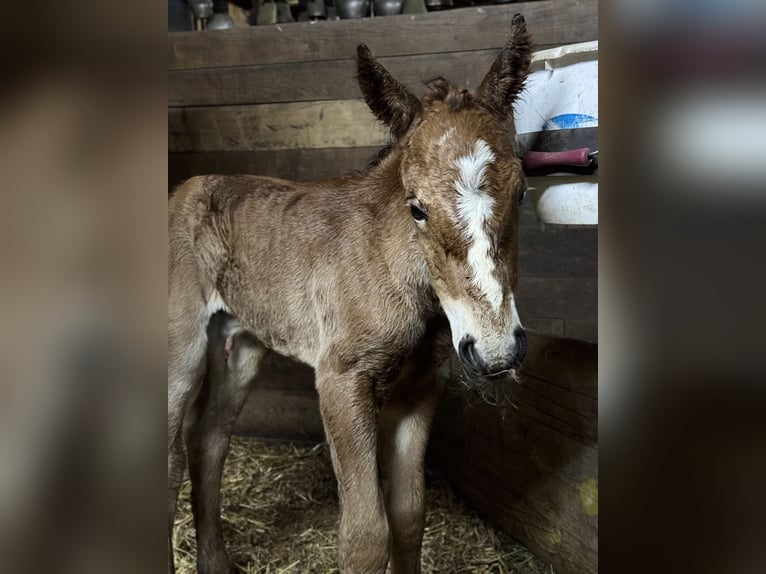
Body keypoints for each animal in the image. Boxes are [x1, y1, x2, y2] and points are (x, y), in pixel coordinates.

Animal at [168, 15, 532, 574]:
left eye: (521, 191)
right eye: (416, 207)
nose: (496, 351)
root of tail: (184, 190)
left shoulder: (420, 388)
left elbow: (408, 515)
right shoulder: (341, 381)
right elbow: (364, 535)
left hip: (238, 345)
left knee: (207, 438)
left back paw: (214, 562)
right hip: (180, 349)